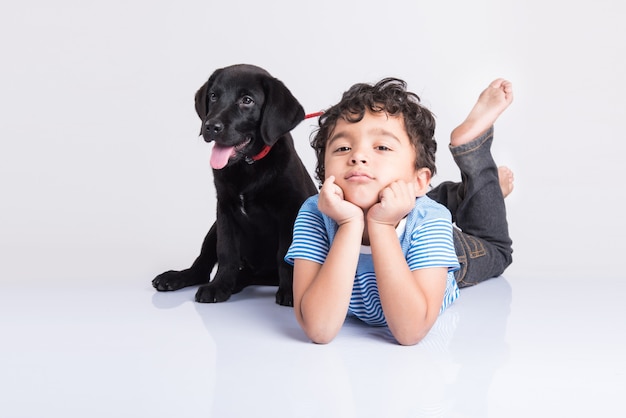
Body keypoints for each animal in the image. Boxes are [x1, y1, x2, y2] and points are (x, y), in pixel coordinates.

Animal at [152, 63, 316, 306]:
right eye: (213, 96)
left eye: (247, 100)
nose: (211, 126)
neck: (248, 165)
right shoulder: (225, 209)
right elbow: (227, 252)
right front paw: (219, 286)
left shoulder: (290, 210)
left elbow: (286, 254)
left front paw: (290, 292)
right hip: (214, 227)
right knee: (202, 267)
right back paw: (178, 278)